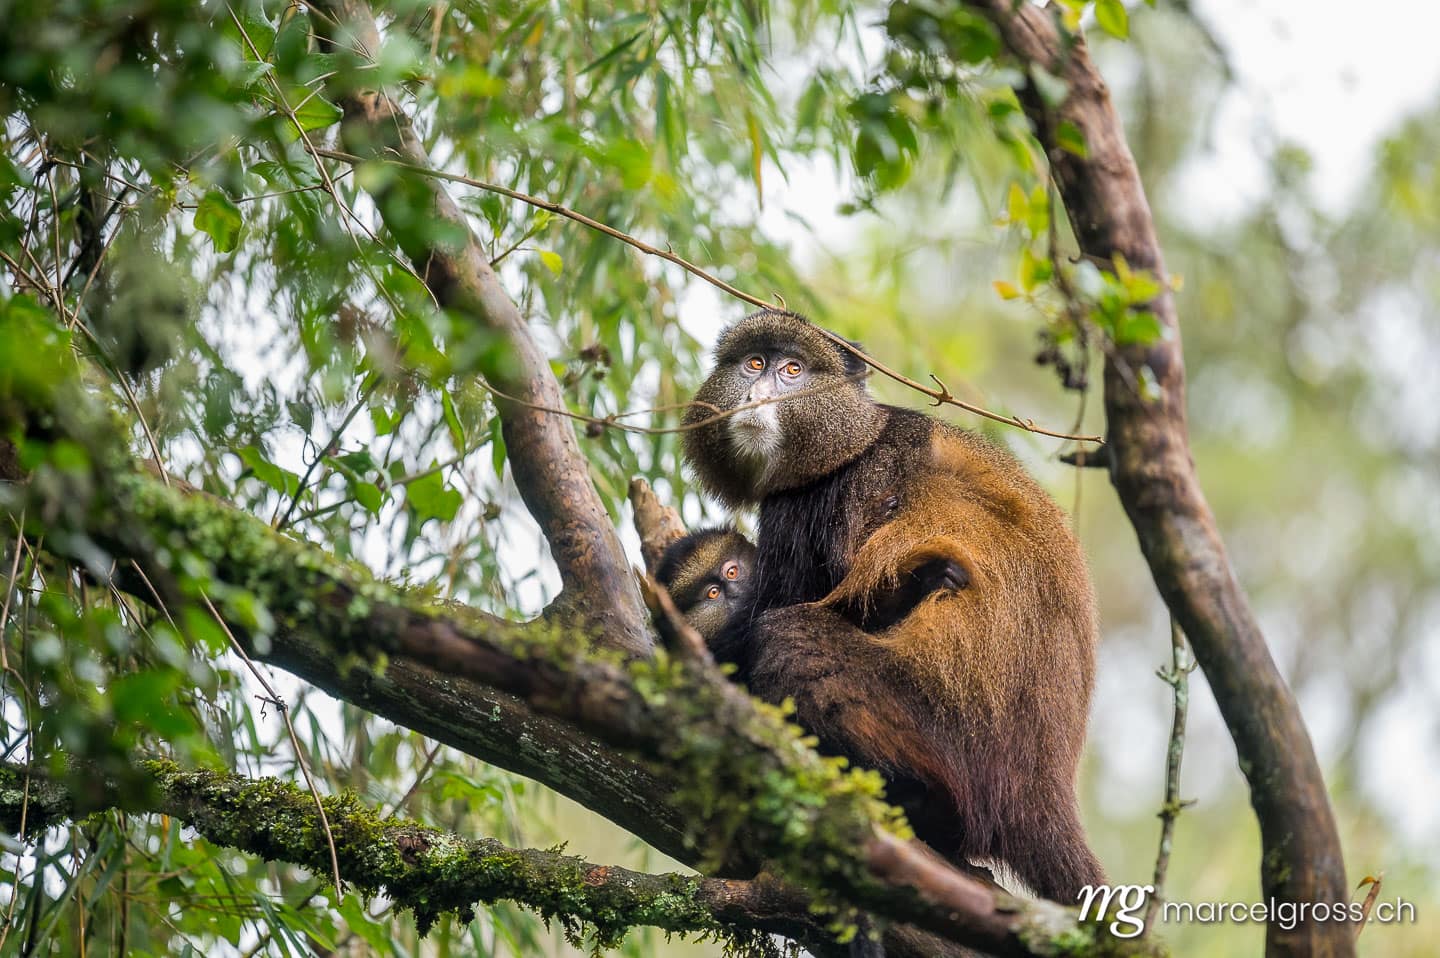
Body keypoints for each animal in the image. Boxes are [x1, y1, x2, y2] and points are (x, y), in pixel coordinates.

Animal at [679, 308, 1103, 903]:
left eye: (793, 370)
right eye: (754, 363)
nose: (758, 392)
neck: (852, 443)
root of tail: (1044, 795)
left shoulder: (830, 497)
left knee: (788, 638)